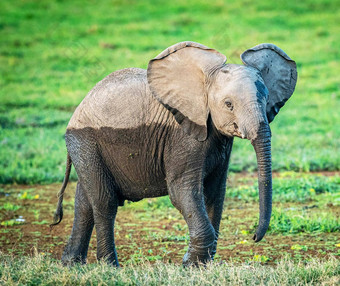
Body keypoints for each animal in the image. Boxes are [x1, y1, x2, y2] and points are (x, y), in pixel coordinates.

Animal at [51, 40, 298, 266]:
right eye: (229, 104)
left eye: (267, 101)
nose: (254, 236)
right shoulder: (183, 137)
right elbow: (182, 191)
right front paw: (191, 264)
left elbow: (215, 192)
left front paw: (202, 265)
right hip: (86, 142)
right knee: (104, 202)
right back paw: (109, 266)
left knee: (85, 203)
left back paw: (72, 264)